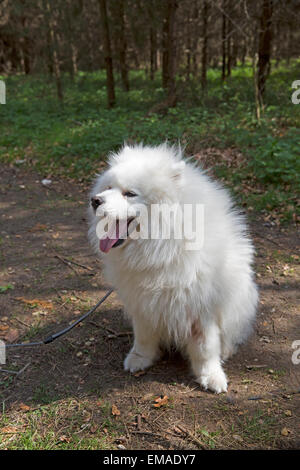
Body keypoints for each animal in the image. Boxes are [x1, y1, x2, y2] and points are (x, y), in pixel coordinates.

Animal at [87, 143, 258, 392]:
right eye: (108, 188)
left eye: (130, 194)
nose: (95, 200)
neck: (162, 246)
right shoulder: (142, 302)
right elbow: (143, 336)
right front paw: (140, 358)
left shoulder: (201, 307)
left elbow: (205, 348)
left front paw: (211, 376)